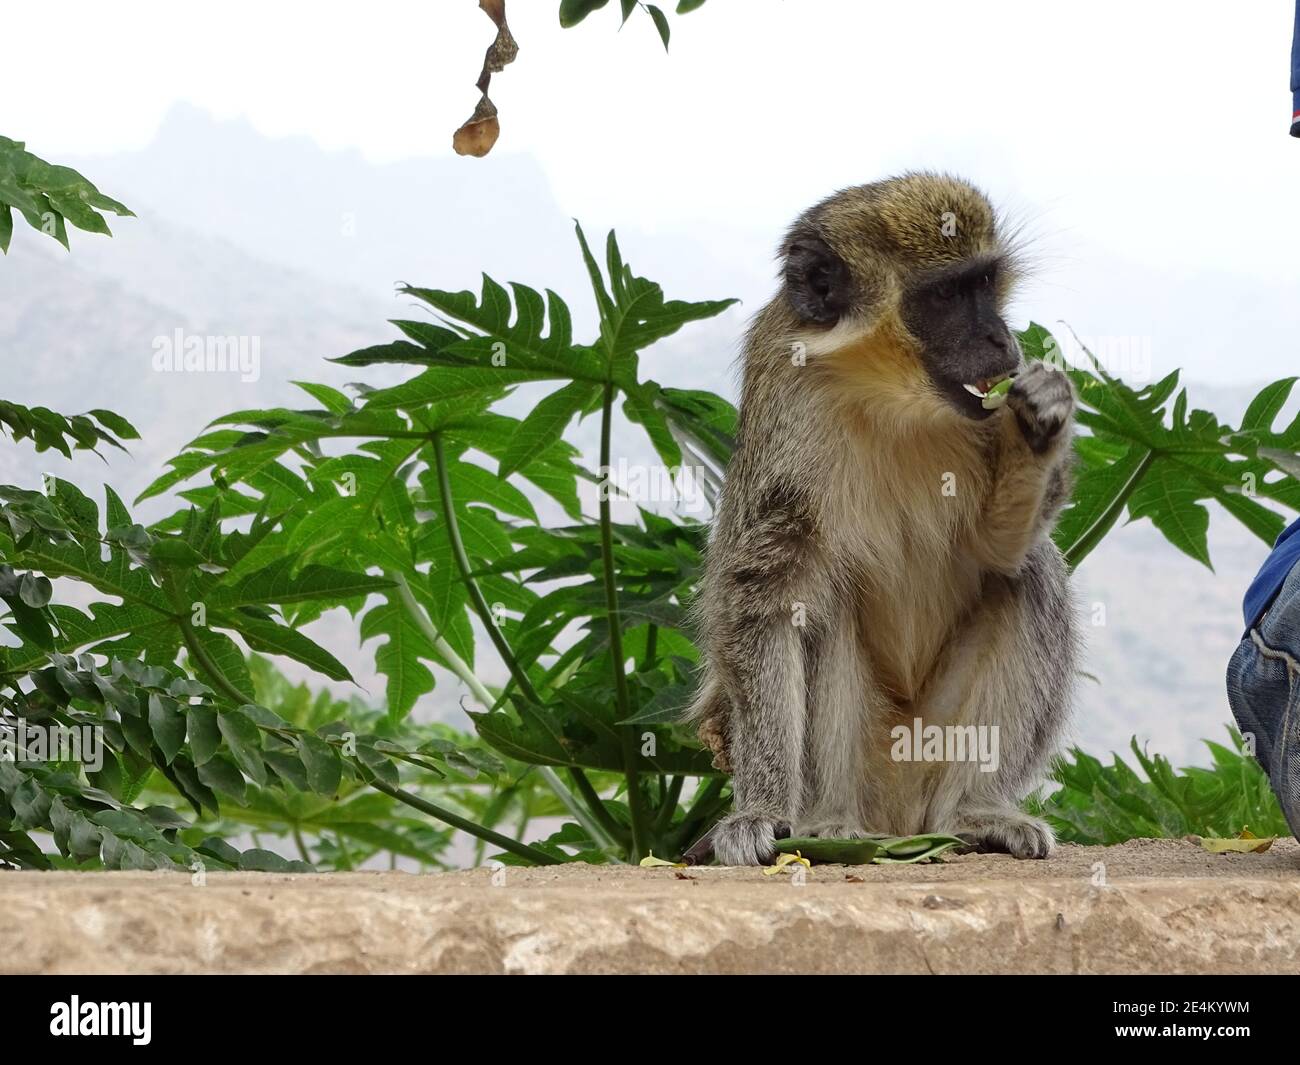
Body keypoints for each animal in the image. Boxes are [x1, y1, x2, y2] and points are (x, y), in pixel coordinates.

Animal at [691, 172, 1076, 868]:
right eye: (947, 294)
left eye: (985, 283)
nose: (1002, 340)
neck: (888, 394)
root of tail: (899, 822)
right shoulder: (784, 393)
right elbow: (767, 597)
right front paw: (759, 809)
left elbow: (996, 550)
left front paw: (1042, 421)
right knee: (823, 604)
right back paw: (829, 822)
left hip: (935, 744)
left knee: (1030, 575)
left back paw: (978, 812)